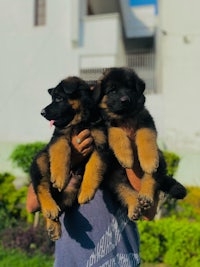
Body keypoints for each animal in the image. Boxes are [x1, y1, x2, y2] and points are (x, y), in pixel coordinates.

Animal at [30, 76, 108, 242]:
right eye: (52, 98)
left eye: (59, 98)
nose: (42, 112)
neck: (80, 122)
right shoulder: (59, 137)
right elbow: (62, 151)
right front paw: (60, 177)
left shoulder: (101, 145)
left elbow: (94, 167)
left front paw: (87, 192)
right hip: (40, 159)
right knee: (41, 187)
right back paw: (50, 207)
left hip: (70, 191)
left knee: (58, 209)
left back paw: (53, 225)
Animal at [94, 68, 187, 221]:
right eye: (112, 90)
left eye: (130, 88)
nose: (125, 100)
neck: (125, 117)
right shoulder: (105, 125)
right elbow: (115, 131)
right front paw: (125, 156)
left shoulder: (145, 121)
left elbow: (146, 138)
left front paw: (148, 161)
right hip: (114, 175)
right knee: (123, 189)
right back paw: (135, 206)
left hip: (160, 158)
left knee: (151, 178)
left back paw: (145, 195)